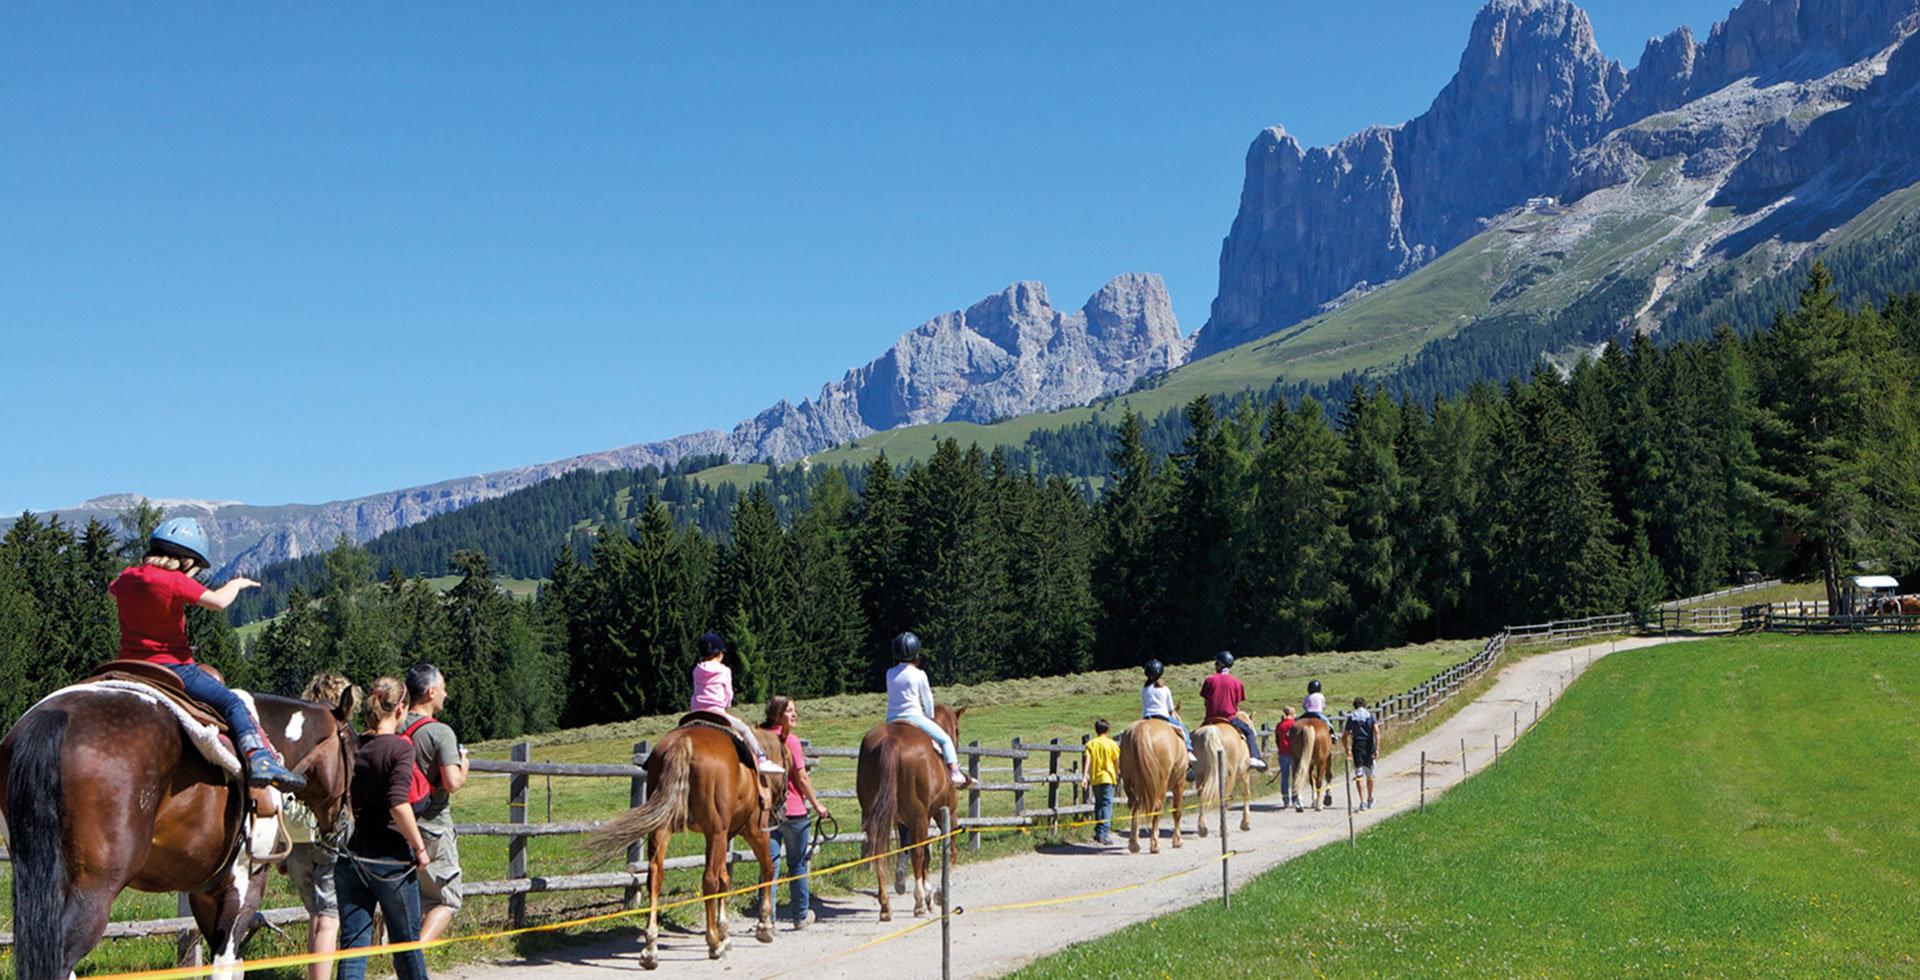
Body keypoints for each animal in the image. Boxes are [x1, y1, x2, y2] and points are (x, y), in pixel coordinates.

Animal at [0, 672, 357, 980]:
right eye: (353, 751)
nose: (347, 823)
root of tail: (56, 717)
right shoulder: (245, 883)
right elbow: (226, 963)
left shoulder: (204, 892)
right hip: (94, 890)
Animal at [579, 714, 783, 968]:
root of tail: (683, 742)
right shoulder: (751, 830)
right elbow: (765, 869)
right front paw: (762, 927)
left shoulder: (724, 837)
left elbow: (725, 880)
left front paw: (725, 933)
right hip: (717, 831)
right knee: (709, 880)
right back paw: (713, 943)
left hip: (662, 828)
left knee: (655, 876)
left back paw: (650, 949)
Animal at [860, 703, 967, 918]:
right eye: (957, 730)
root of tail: (891, 740)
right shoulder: (944, 814)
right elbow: (947, 850)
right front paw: (936, 894)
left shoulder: (906, 820)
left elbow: (914, 851)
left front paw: (928, 895)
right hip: (919, 816)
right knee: (918, 853)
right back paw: (918, 903)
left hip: (873, 816)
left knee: (878, 854)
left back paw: (885, 905)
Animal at [1113, 714, 1182, 853]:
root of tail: (1142, 728)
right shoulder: (1179, 783)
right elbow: (1177, 811)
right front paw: (1177, 841)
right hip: (1160, 784)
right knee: (1156, 807)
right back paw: (1155, 844)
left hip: (1129, 782)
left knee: (1134, 806)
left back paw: (1134, 843)